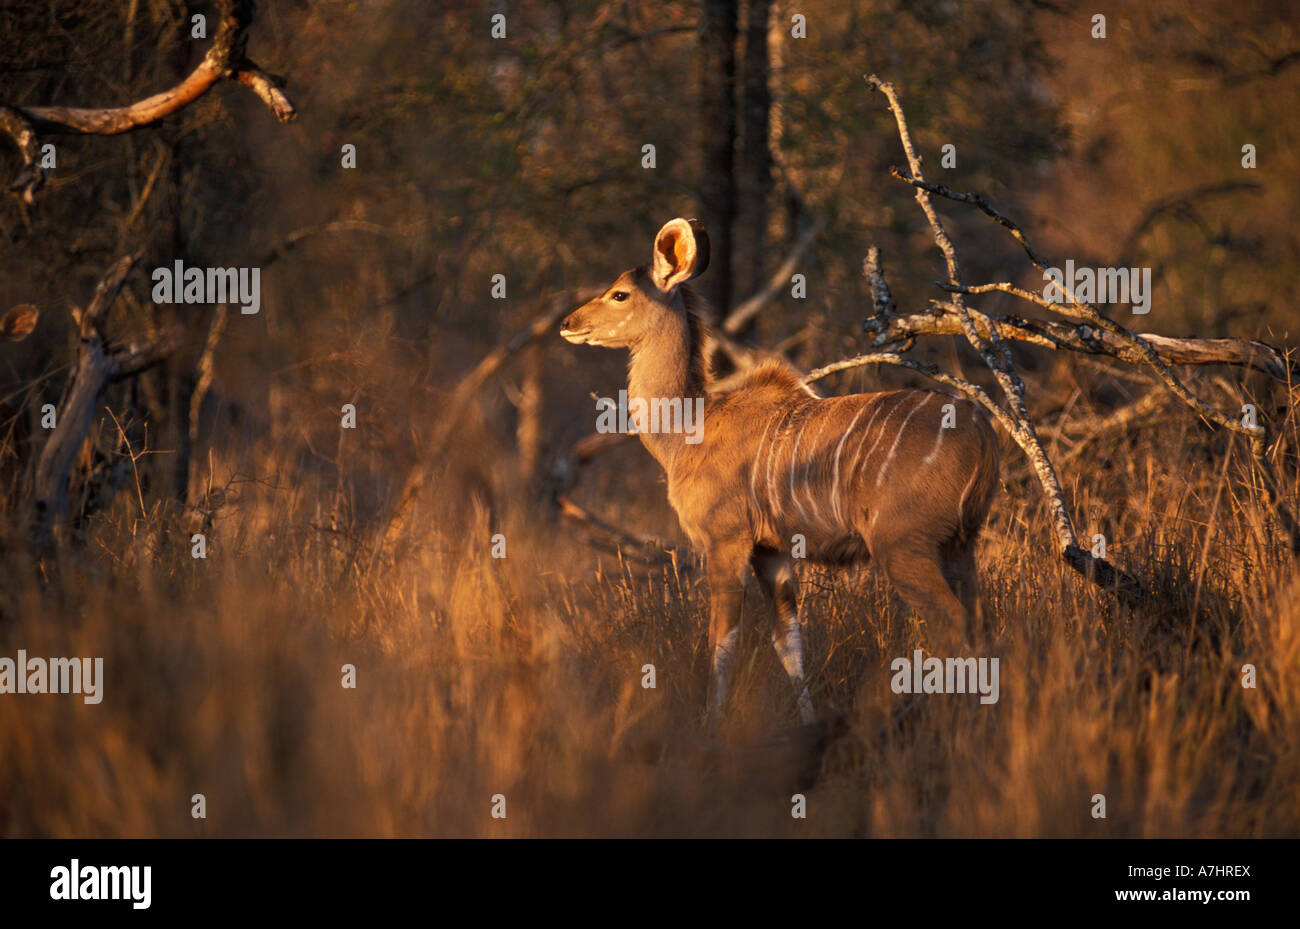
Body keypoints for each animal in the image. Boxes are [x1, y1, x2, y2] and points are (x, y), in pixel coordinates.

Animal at [556, 219, 993, 727]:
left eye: (620, 293)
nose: (568, 323)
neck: (689, 427)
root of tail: (982, 430)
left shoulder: (725, 540)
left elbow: (722, 640)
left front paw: (711, 723)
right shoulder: (772, 550)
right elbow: (789, 641)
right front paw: (807, 720)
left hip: (905, 545)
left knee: (953, 624)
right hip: (960, 545)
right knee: (979, 622)